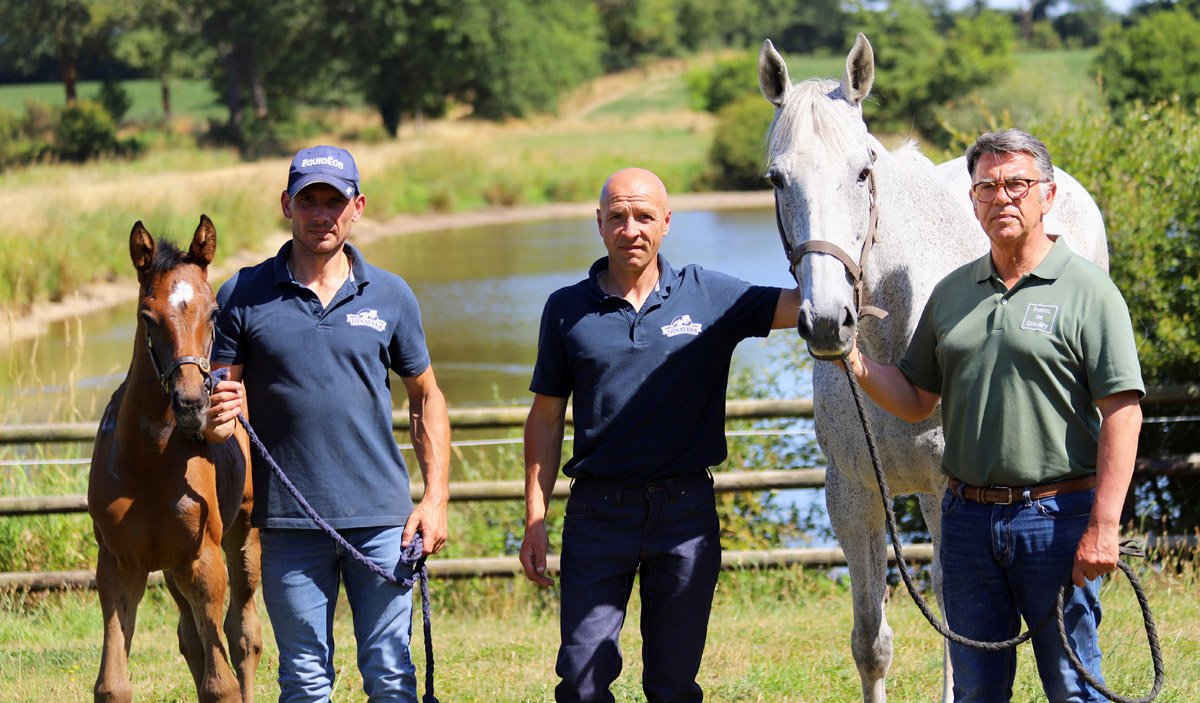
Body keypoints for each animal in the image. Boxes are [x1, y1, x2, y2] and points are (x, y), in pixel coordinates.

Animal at [87, 215, 261, 703]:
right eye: (148, 317)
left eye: (215, 313)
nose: (191, 404)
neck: (149, 463)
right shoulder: (119, 565)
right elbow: (112, 684)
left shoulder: (203, 560)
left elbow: (221, 684)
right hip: (170, 566)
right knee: (192, 640)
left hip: (242, 537)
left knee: (243, 636)